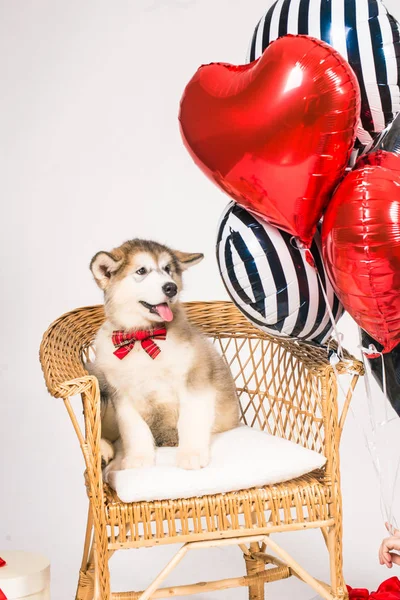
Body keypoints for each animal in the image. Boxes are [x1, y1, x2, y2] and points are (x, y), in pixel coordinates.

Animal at [89, 238, 239, 468]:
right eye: (141, 270)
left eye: (168, 269)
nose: (171, 287)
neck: (143, 338)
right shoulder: (121, 396)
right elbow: (133, 429)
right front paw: (138, 458)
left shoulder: (195, 382)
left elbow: (190, 420)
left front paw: (191, 453)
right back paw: (104, 449)